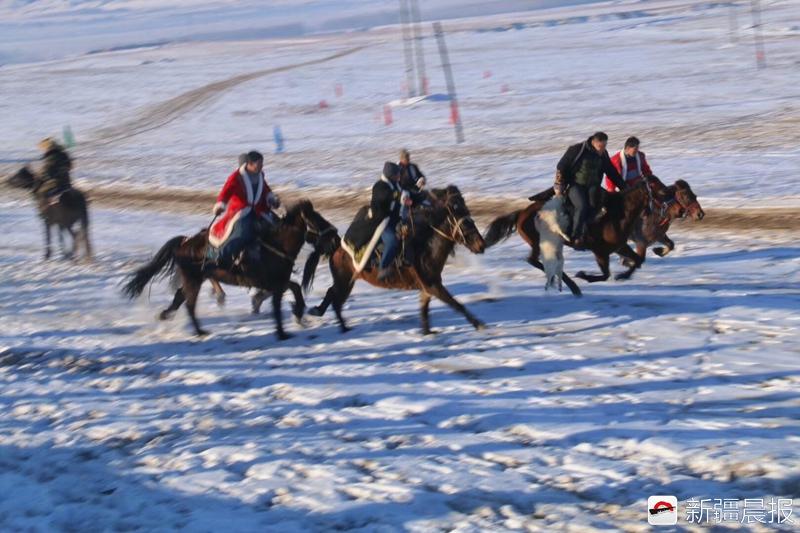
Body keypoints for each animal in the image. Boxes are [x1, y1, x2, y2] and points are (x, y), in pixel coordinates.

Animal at [123, 200, 340, 336]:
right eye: (317, 220)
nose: (336, 238)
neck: (275, 246)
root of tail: (184, 242)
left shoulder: (277, 282)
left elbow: (294, 287)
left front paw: (298, 313)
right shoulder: (271, 282)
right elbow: (290, 289)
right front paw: (296, 314)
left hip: (195, 278)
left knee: (179, 297)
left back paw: (165, 315)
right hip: (193, 279)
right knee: (189, 305)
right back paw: (200, 331)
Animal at [308, 186, 488, 332]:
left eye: (471, 219)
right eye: (465, 224)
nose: (481, 245)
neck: (425, 250)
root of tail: (336, 247)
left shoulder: (427, 287)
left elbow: (424, 309)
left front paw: (427, 332)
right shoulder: (433, 286)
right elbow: (457, 305)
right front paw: (479, 324)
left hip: (347, 281)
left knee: (332, 295)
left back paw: (323, 314)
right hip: (344, 281)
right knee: (335, 299)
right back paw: (342, 326)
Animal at [482, 180, 656, 288]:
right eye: (658, 189)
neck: (617, 213)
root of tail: (521, 214)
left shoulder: (619, 246)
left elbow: (638, 260)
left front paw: (623, 276)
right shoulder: (600, 251)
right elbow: (605, 274)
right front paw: (582, 275)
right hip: (539, 242)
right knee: (533, 260)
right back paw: (571, 284)